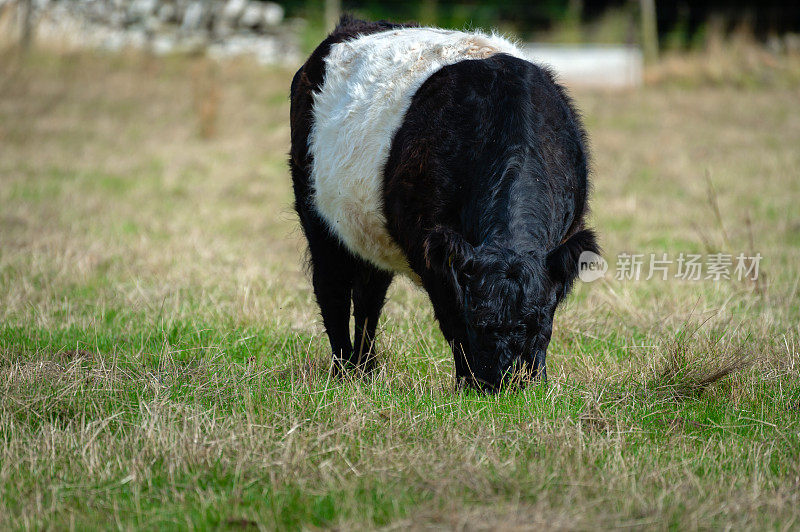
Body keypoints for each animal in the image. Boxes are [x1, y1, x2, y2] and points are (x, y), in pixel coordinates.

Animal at [288, 15, 592, 390]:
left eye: (537, 321)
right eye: (478, 322)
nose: (503, 385)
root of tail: (352, 24)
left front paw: (538, 384)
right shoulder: (432, 253)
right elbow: (451, 320)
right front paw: (466, 385)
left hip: (367, 231)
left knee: (368, 296)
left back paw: (366, 370)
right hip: (317, 217)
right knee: (332, 289)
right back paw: (345, 372)